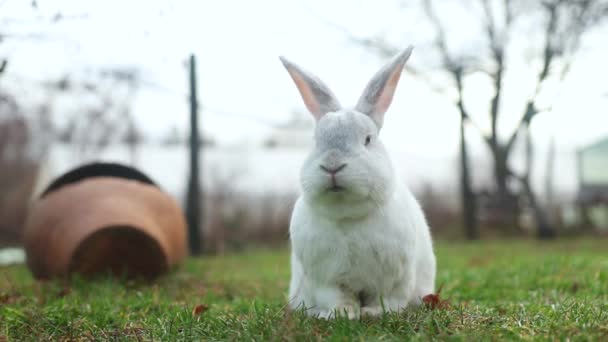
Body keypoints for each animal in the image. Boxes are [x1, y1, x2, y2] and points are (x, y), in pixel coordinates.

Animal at [280, 46, 436, 320]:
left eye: (367, 139)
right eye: (316, 141)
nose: (332, 165)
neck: (348, 216)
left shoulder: (395, 279)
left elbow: (387, 299)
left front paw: (373, 312)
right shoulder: (326, 280)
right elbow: (339, 297)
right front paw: (342, 314)